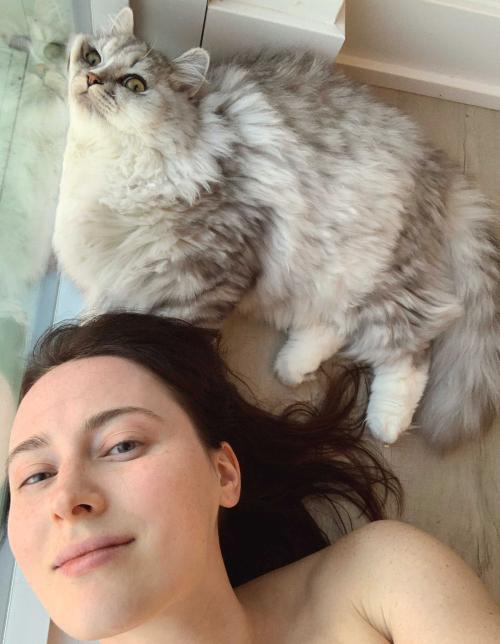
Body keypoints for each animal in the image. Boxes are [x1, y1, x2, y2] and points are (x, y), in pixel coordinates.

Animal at [53, 7, 500, 451]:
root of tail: (435, 161)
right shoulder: (113, 278)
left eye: (134, 83)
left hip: (382, 274)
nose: (91, 78)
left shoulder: (205, 272)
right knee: (337, 323)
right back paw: (294, 365)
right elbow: (96, 328)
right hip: (331, 272)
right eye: (93, 57)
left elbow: (162, 347)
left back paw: (386, 422)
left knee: (412, 347)